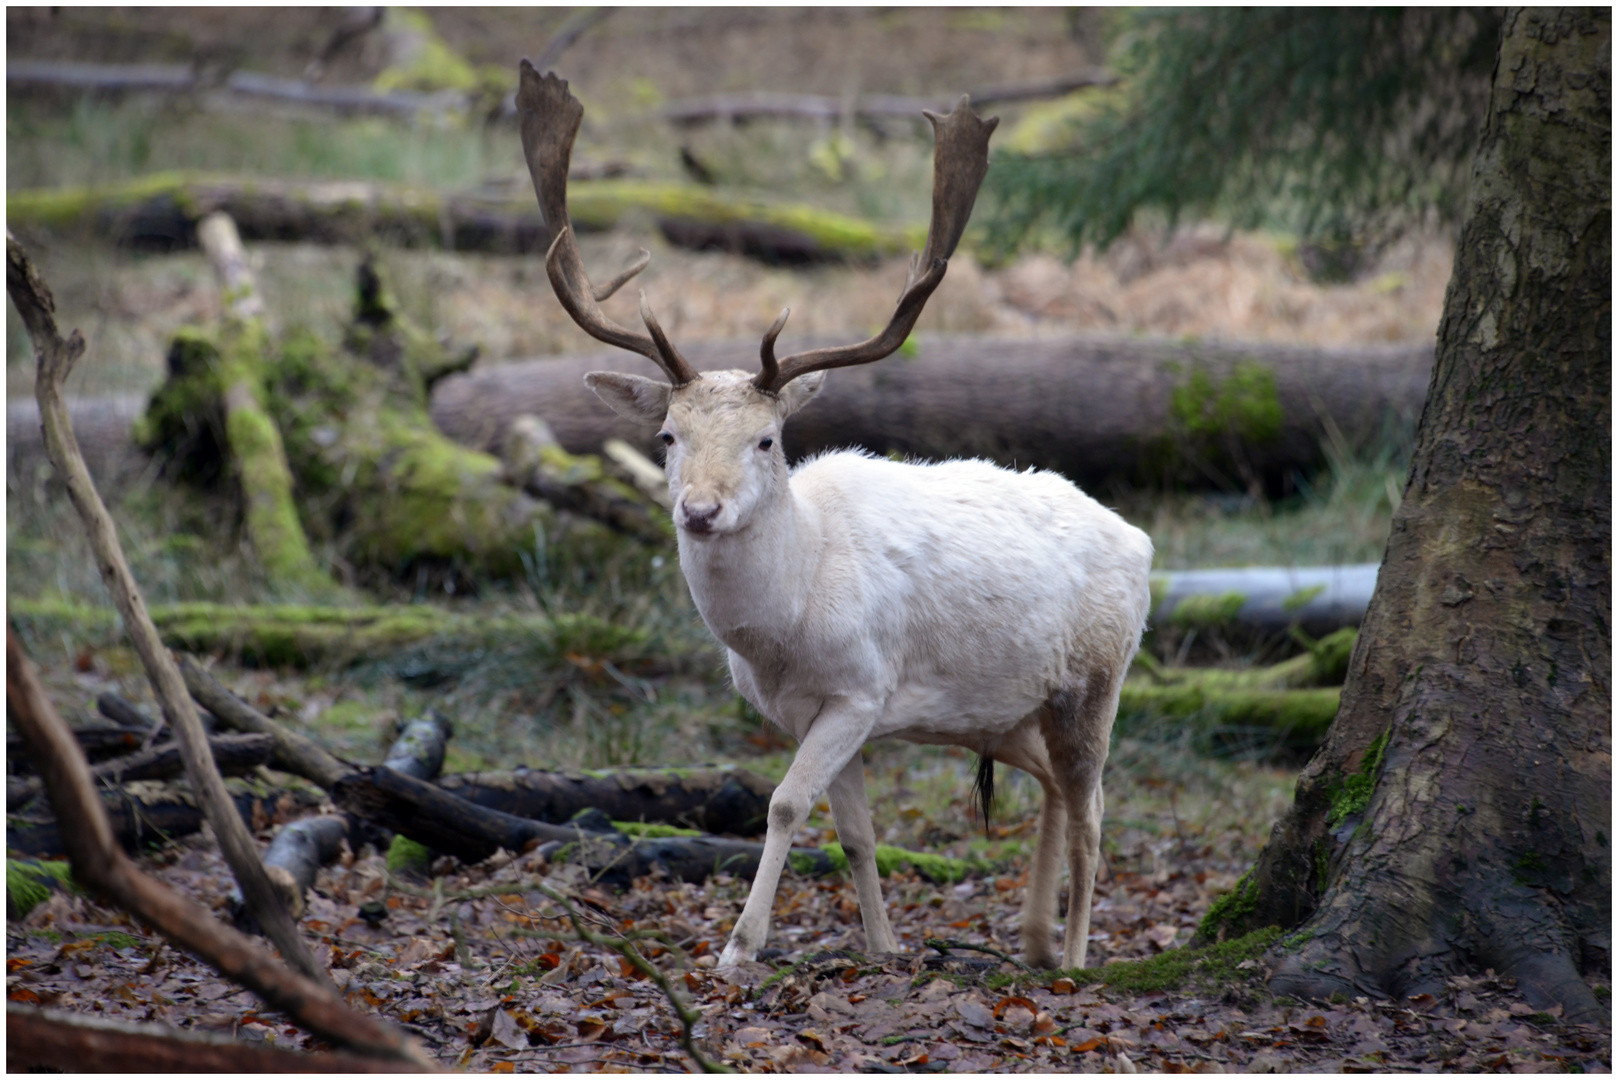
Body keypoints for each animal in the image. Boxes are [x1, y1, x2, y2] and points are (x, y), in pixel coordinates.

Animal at [517, 63, 1152, 965]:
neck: (784, 629)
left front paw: (739, 948)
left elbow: (784, 803)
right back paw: (1031, 938)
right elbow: (854, 832)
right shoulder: (811, 709)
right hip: (1007, 711)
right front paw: (882, 947)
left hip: (1098, 677)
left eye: (768, 438)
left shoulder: (860, 686)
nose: (701, 510)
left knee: (1095, 810)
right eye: (668, 434)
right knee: (1054, 787)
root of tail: (1139, 537)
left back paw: (1071, 958)